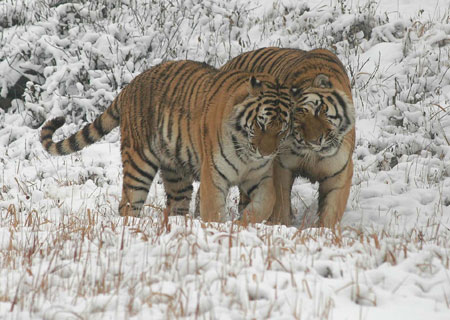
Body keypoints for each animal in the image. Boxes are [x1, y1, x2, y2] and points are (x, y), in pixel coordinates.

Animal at [41, 60, 292, 225]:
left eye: (281, 130)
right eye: (260, 124)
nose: (267, 154)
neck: (246, 152)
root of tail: (129, 86)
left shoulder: (260, 176)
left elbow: (267, 202)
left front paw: (244, 223)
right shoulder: (214, 176)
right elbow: (214, 211)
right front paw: (220, 230)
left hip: (176, 173)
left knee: (175, 205)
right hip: (139, 163)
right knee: (128, 204)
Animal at [221, 47, 356, 228]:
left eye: (318, 110)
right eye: (295, 119)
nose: (316, 141)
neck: (313, 153)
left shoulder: (338, 172)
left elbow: (331, 210)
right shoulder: (281, 166)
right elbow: (281, 203)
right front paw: (281, 224)